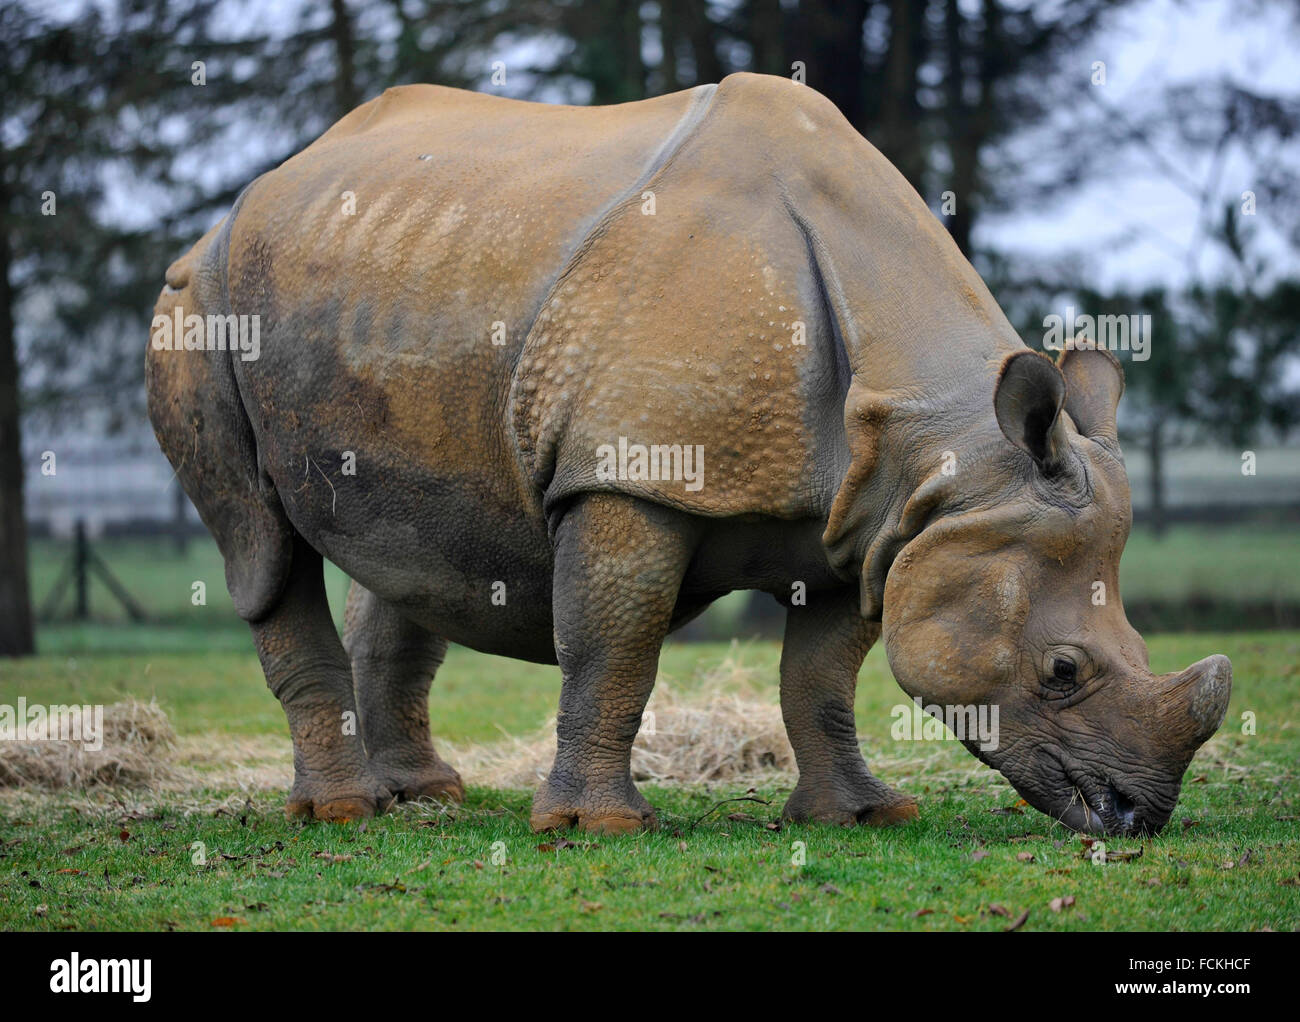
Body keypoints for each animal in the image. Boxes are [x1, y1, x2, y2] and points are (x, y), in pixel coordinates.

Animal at [146, 72, 1231, 836]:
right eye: (1060, 668)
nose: (1137, 815)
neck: (941, 445)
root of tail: (246, 198)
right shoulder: (631, 474)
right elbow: (613, 649)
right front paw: (596, 828)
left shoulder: (870, 518)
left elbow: (821, 677)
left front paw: (863, 815)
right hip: (201, 306)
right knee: (262, 548)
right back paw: (340, 813)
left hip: (393, 271)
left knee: (409, 544)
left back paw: (425, 799)